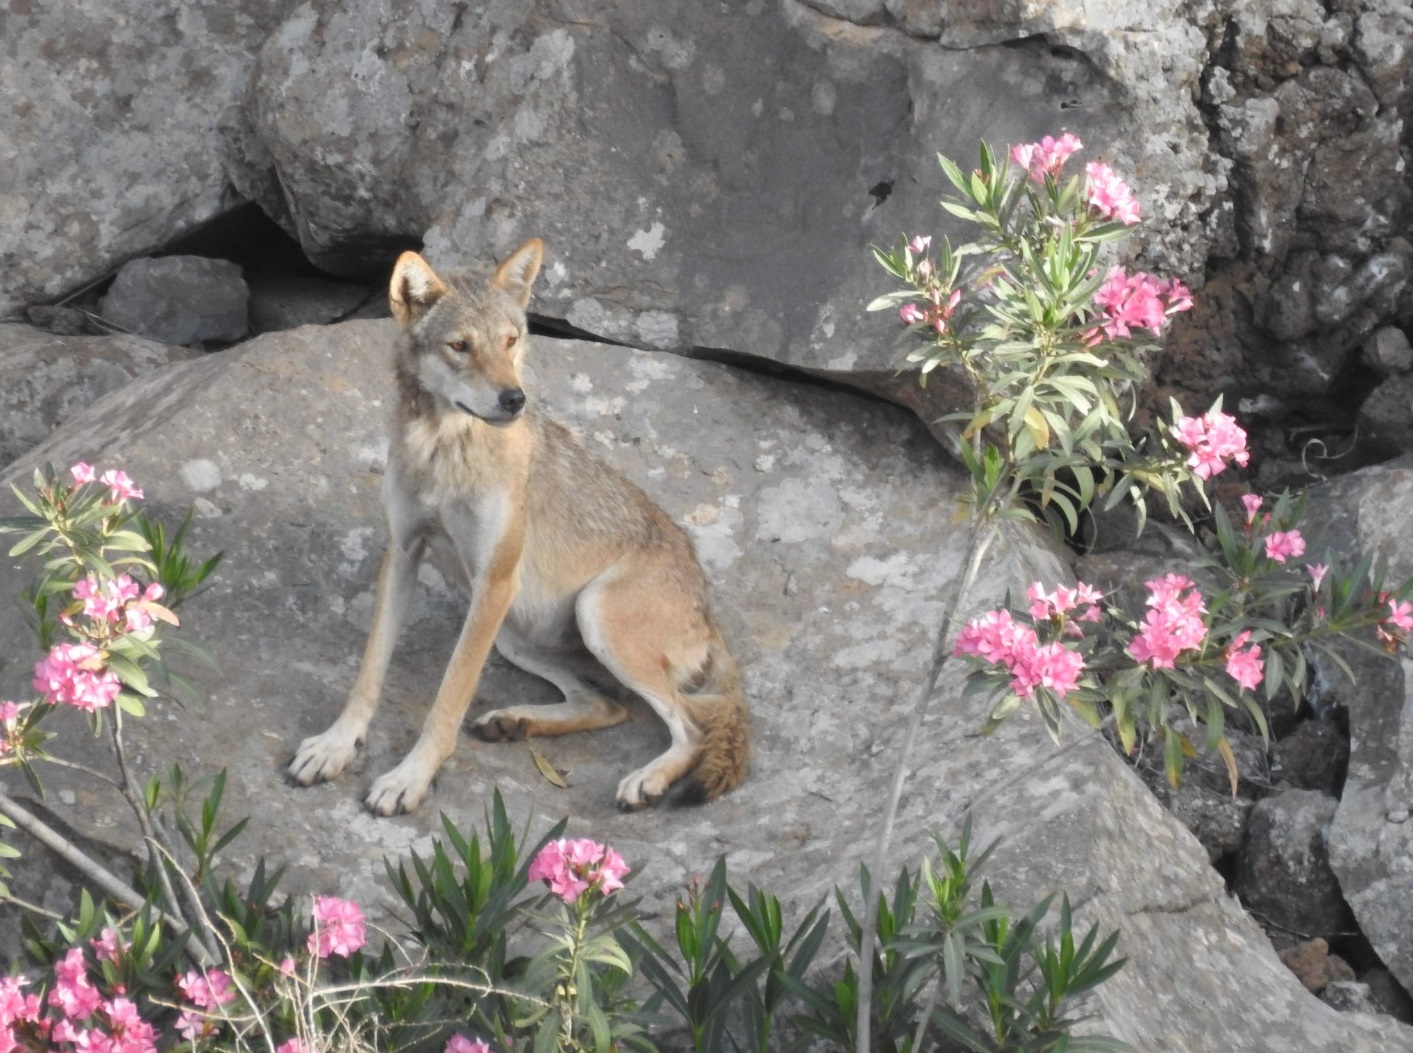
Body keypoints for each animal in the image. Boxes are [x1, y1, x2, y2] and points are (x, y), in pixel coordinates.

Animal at [285, 238, 751, 814]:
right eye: (460, 346)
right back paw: (515, 722)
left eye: (511, 341)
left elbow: (448, 699)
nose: (514, 399)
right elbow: (369, 674)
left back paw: (647, 779)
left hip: (590, 618)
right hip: (514, 634)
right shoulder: (404, 554)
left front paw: (409, 777)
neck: (445, 451)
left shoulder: (494, 582)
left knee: (690, 726)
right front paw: (335, 745)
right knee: (607, 706)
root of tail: (708, 611)